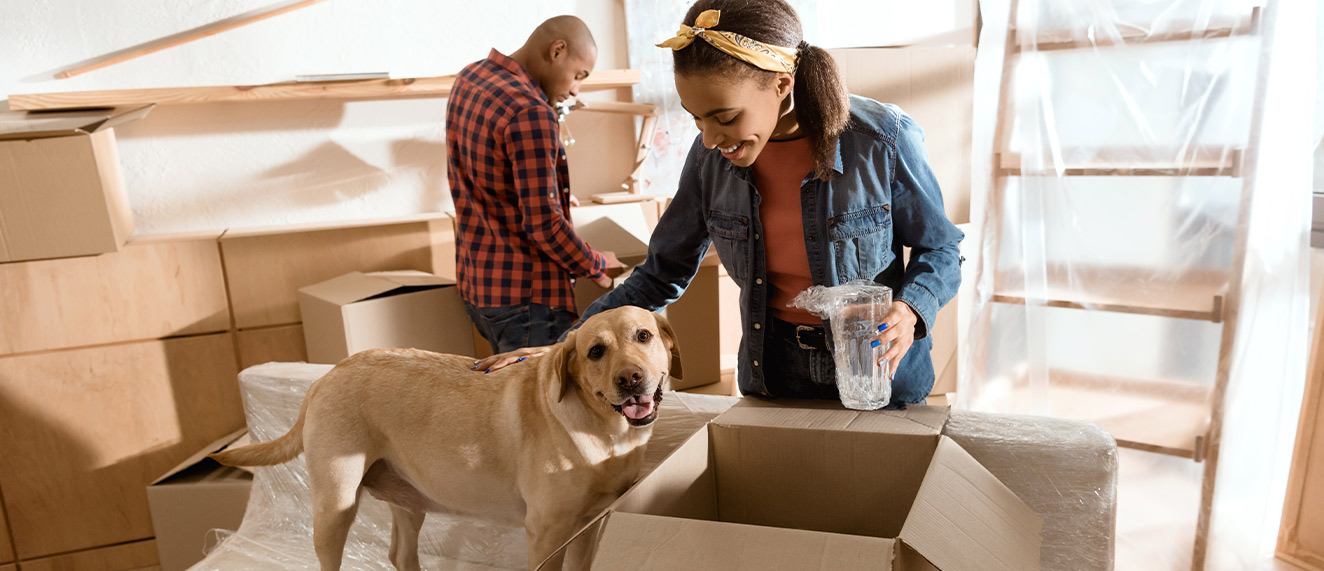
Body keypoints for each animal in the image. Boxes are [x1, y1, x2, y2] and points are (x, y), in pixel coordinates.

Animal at [211, 308, 683, 571]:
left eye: (643, 335)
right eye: (595, 352)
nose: (630, 379)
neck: (605, 431)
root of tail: (326, 376)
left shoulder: (590, 525)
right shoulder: (546, 533)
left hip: (408, 500)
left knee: (401, 555)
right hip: (334, 506)